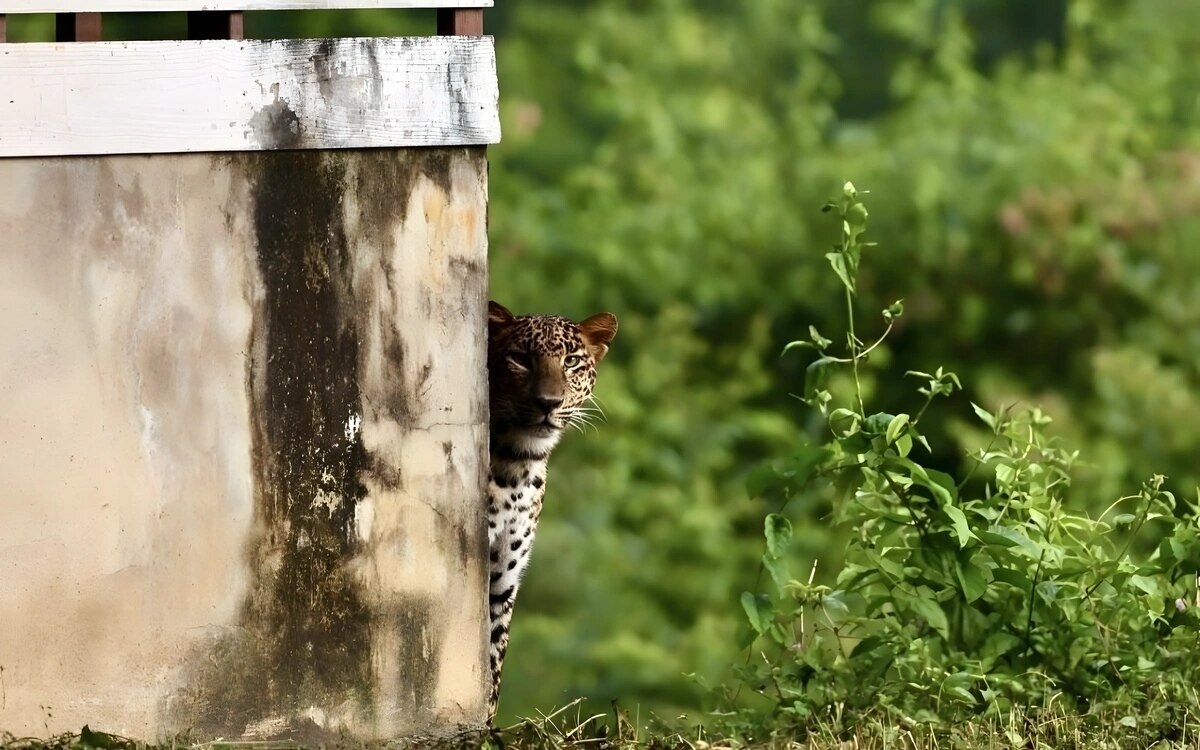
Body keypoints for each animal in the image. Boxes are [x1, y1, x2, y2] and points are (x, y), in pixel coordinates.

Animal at [487, 300, 619, 720]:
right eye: (520, 359)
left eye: (572, 361)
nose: (549, 403)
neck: (517, 463)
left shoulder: (503, 581)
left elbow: (493, 660)